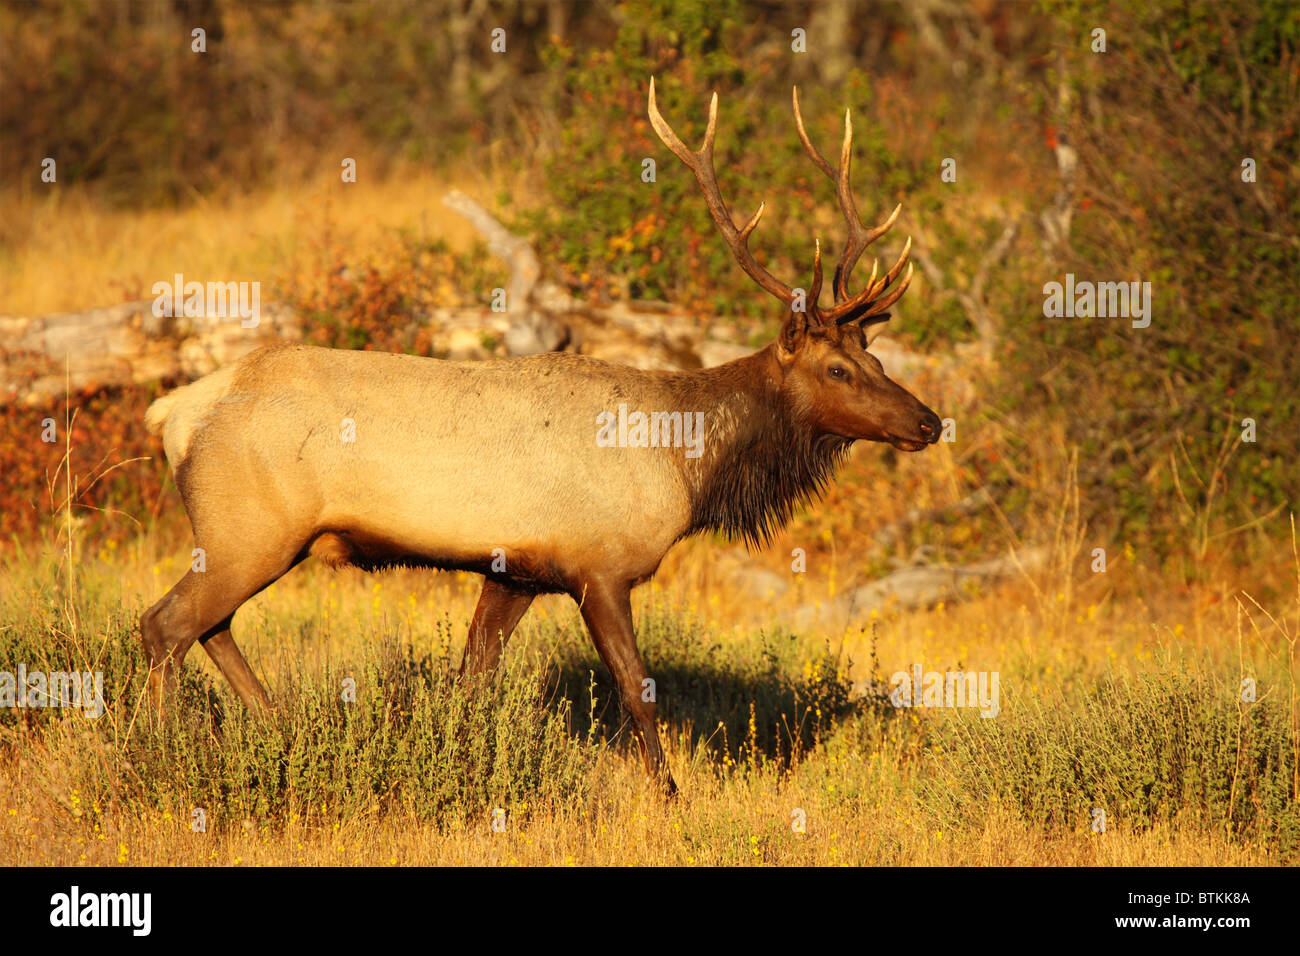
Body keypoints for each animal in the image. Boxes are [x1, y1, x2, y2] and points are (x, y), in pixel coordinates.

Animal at [139, 82, 935, 796]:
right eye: (837, 368)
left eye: (876, 358)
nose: (927, 421)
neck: (685, 461)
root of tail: (173, 412)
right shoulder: (600, 566)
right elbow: (637, 690)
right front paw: (668, 797)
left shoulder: (516, 571)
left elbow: (471, 681)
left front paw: (461, 771)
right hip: (250, 527)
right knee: (166, 623)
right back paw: (166, 758)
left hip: (253, 538)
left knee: (212, 627)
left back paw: (278, 729)